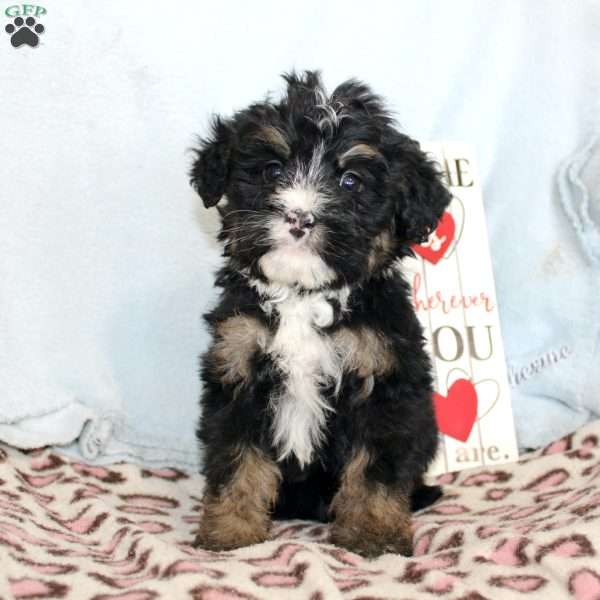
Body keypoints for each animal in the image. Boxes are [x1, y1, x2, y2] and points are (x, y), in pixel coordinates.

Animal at [191, 71, 450, 556]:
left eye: (350, 181)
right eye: (272, 171)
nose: (299, 216)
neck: (302, 296)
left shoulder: (383, 379)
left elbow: (376, 470)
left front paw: (374, 534)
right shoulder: (239, 368)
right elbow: (237, 460)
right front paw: (231, 531)